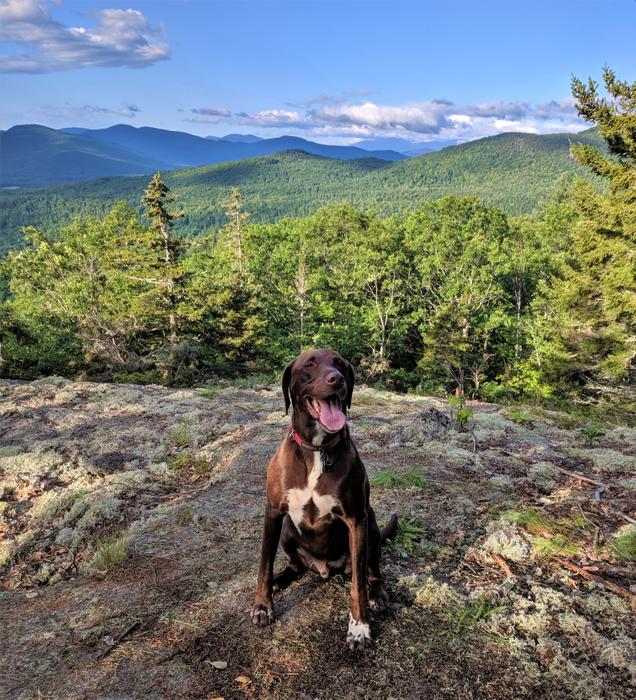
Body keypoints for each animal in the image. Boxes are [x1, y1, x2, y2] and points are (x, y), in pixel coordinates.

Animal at [250, 348, 396, 652]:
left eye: (340, 364)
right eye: (310, 365)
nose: (336, 379)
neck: (317, 450)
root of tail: (323, 568)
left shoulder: (356, 520)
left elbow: (358, 585)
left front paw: (359, 628)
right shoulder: (273, 513)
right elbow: (264, 564)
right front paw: (262, 606)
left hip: (371, 525)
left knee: (372, 572)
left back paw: (377, 594)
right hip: (287, 531)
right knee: (295, 566)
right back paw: (281, 580)